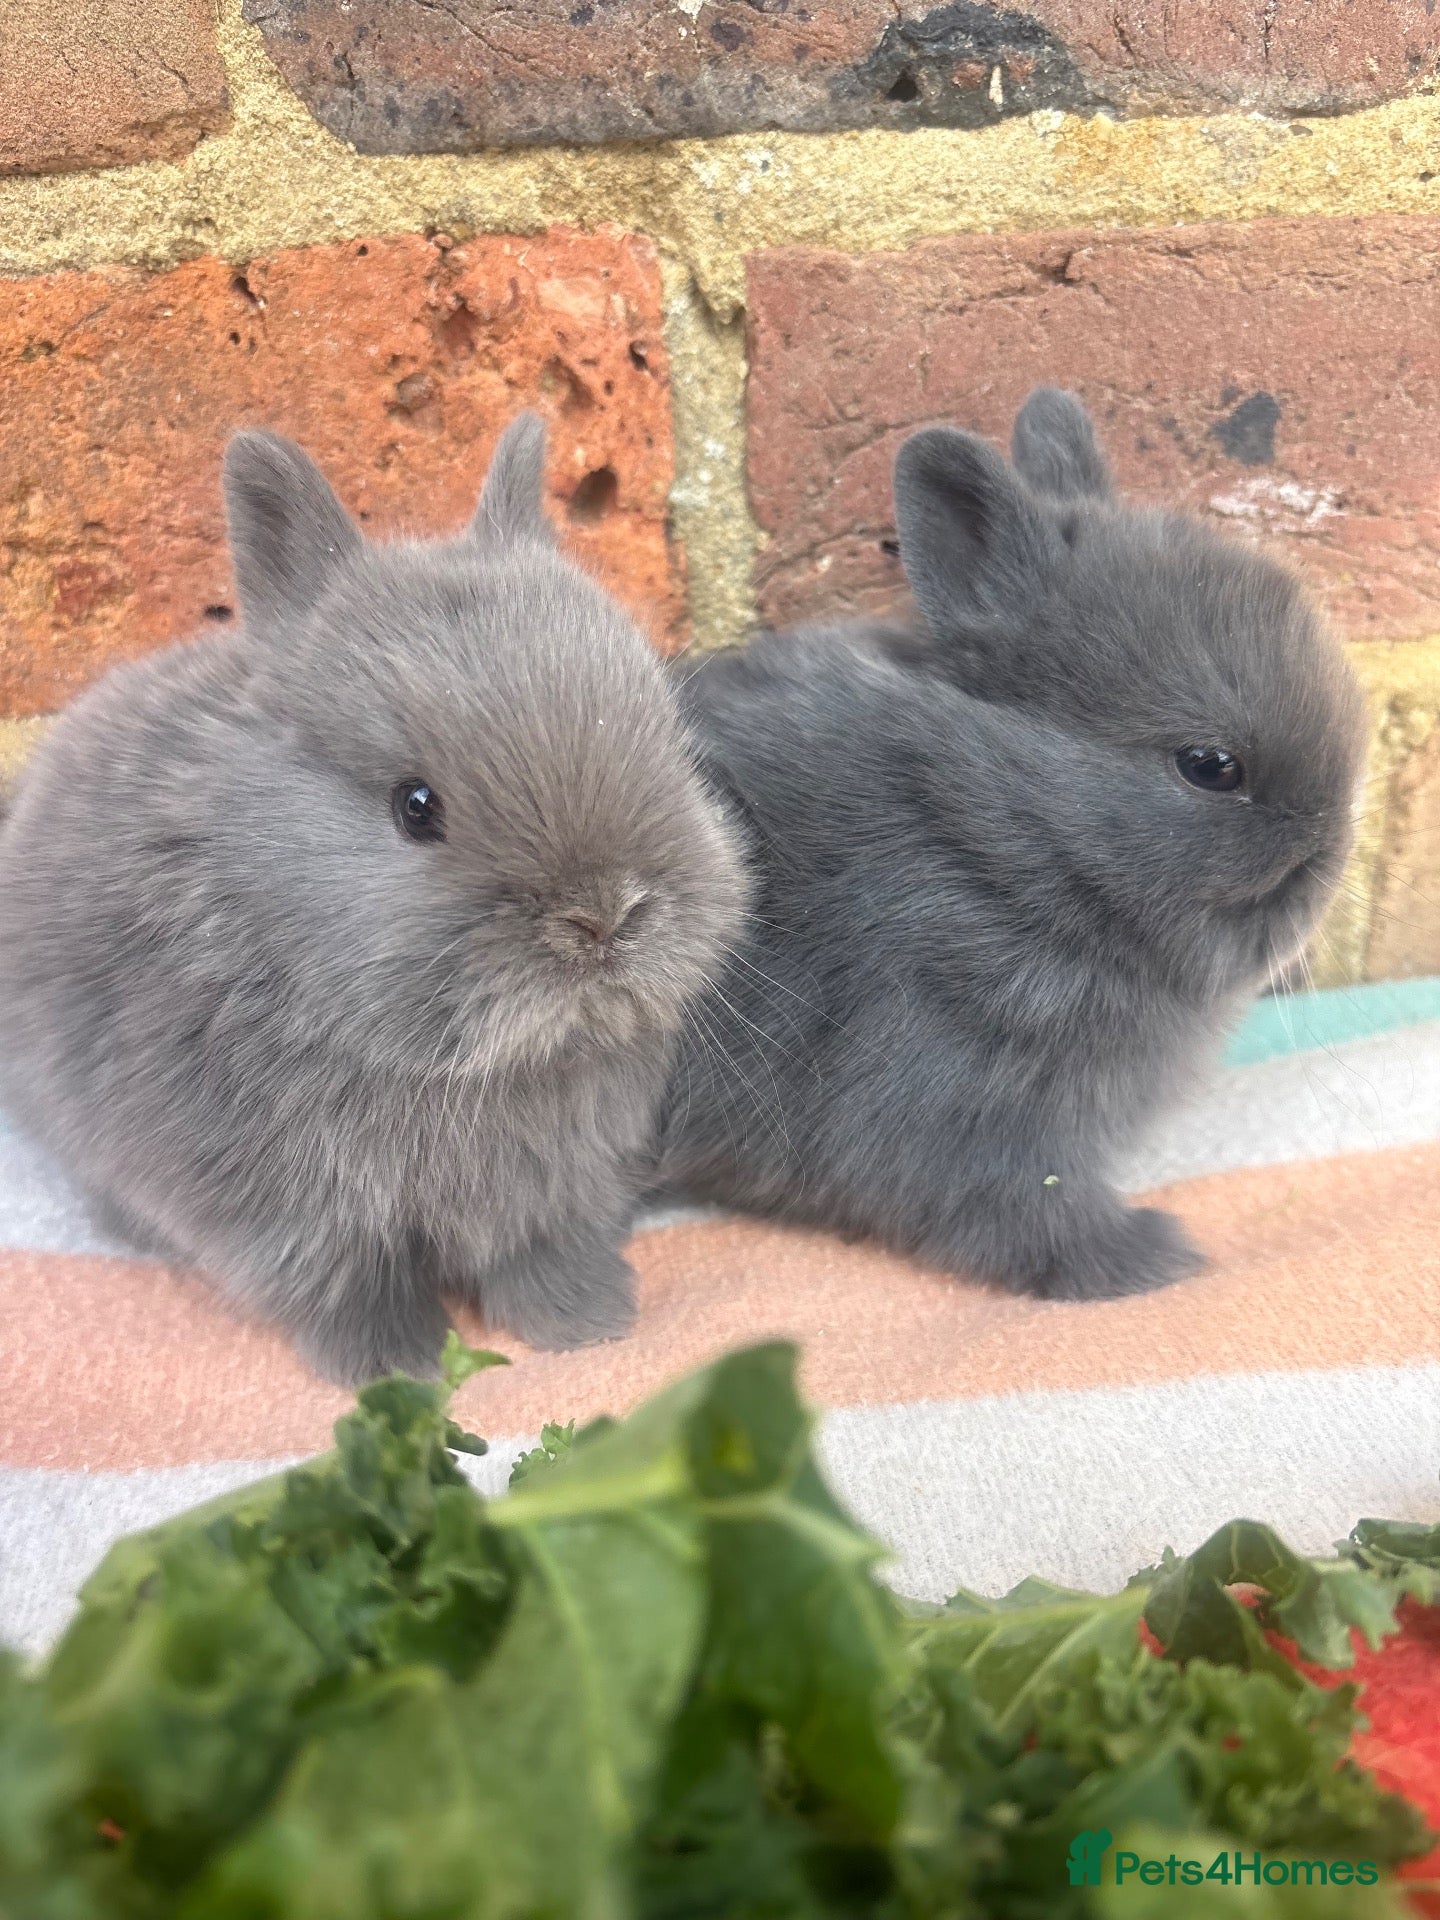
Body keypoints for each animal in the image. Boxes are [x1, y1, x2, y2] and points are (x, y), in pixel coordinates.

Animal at [0, 414, 748, 1383]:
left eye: (667, 741)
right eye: (415, 806)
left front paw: (588, 1325)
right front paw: (394, 1368)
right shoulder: (281, 1209)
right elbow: (345, 1280)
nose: (604, 917)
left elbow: (538, 1249)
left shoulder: (552, 1181)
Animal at [653, 389, 1365, 1302]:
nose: (1325, 868)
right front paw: (1148, 1259)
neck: (989, 837)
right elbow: (1019, 1206)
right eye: (1210, 767)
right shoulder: (963, 1090)